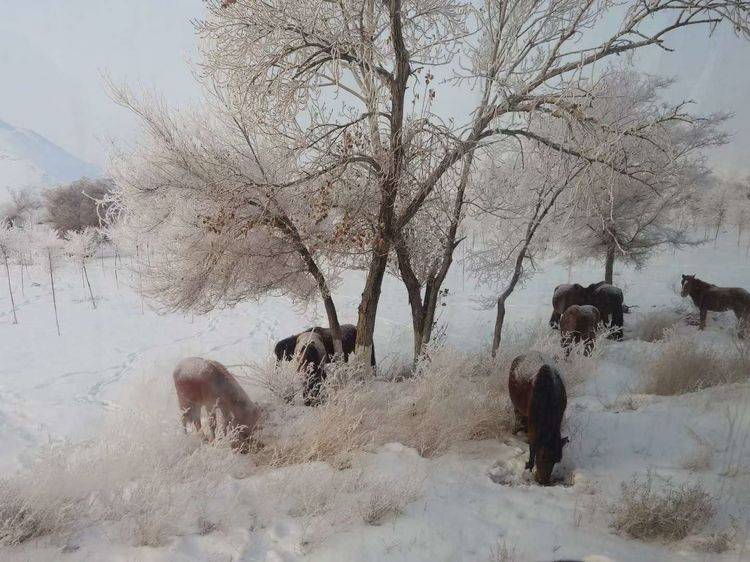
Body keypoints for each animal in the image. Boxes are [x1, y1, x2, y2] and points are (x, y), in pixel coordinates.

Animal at [512, 352, 568, 484]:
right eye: (542, 456)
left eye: (557, 460)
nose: (543, 481)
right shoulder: (533, 423)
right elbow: (532, 445)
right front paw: (529, 465)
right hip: (517, 407)